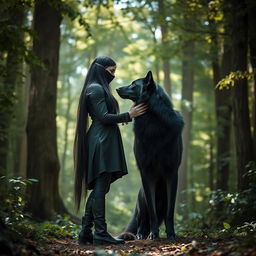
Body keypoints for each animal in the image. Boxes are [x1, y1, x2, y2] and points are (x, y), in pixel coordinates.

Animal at [116, 70, 184, 240]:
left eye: (134, 84)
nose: (117, 88)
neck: (153, 122)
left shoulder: (172, 173)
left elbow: (170, 212)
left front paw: (171, 234)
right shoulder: (146, 173)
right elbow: (152, 212)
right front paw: (154, 234)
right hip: (141, 199)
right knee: (142, 220)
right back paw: (142, 234)